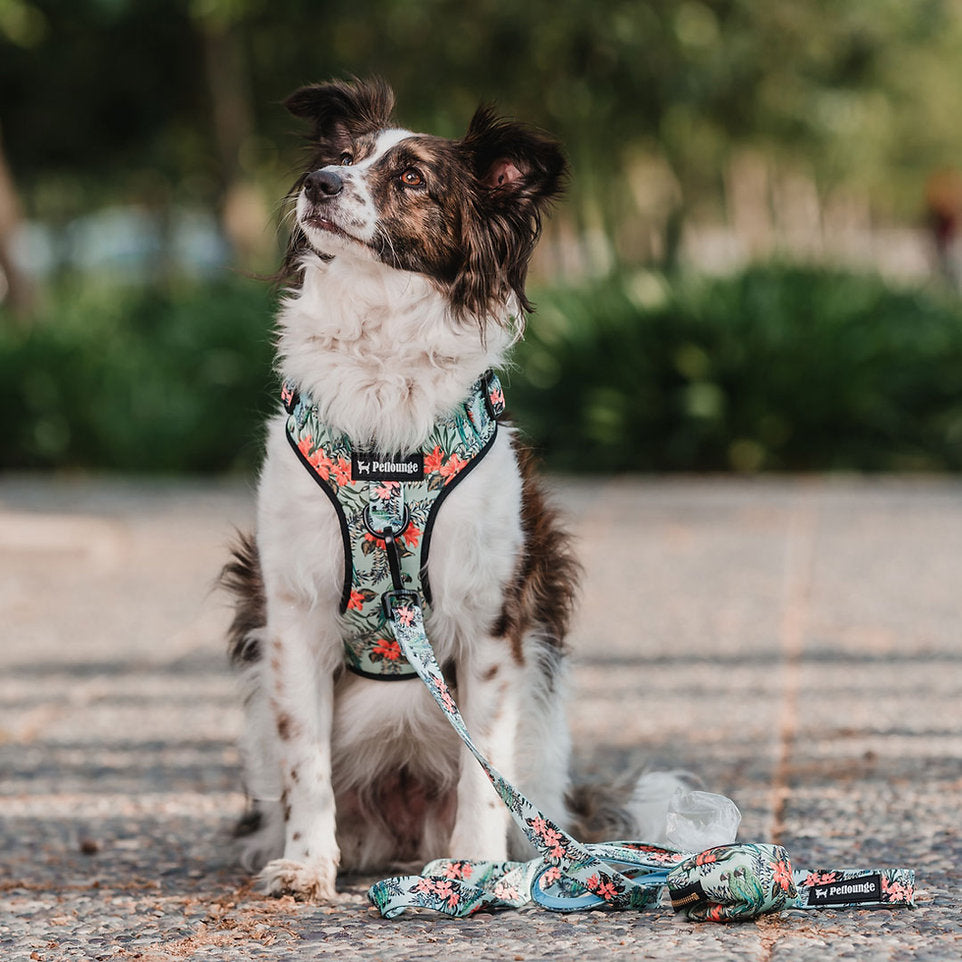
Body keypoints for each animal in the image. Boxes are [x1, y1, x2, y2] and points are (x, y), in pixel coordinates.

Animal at [221, 79, 672, 896]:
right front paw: (306, 864)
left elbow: (482, 770)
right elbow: (306, 762)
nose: (319, 184)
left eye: (411, 178)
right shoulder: (293, 614)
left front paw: (477, 868)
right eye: (341, 157)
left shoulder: (490, 620)